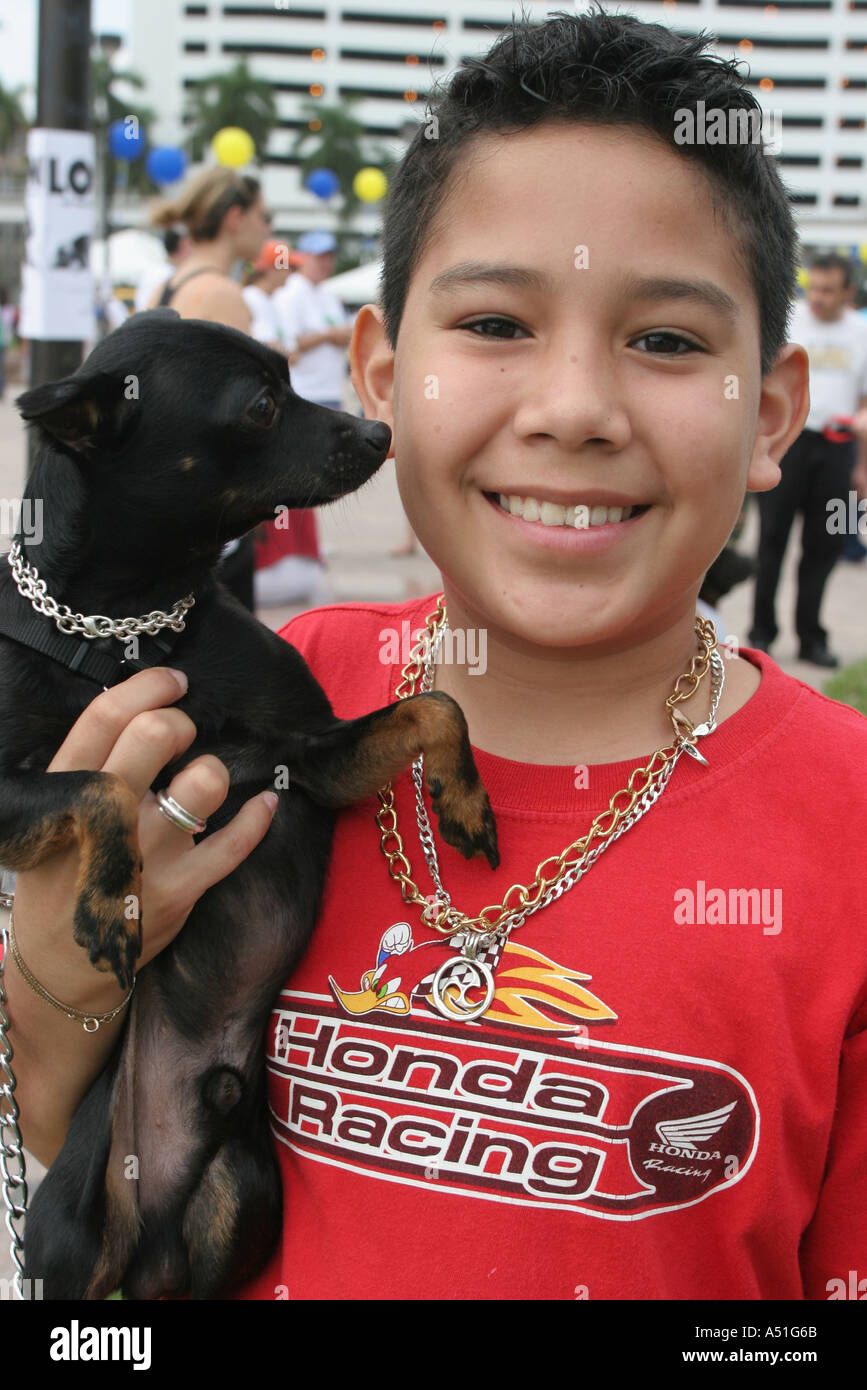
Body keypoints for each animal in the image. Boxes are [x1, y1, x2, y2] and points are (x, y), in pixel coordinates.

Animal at [0, 309, 497, 1295]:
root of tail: (145, 1245)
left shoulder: (307, 759)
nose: (377, 432)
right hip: (66, 1241)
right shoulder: (8, 787)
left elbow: (435, 706)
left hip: (241, 1188)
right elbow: (101, 783)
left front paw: (460, 800)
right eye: (264, 404)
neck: (129, 634)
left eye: (292, 379)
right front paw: (110, 901)